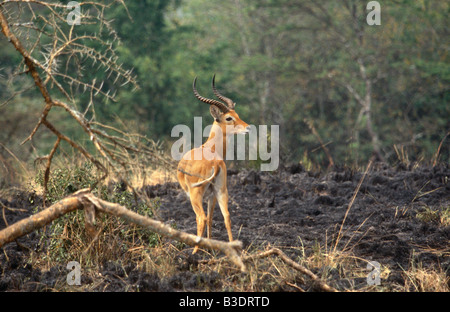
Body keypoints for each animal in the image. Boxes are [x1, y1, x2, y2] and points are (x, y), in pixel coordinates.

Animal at [178, 75, 251, 254]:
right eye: (229, 117)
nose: (248, 128)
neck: (210, 147)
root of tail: (215, 163)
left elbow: (205, 218)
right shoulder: (212, 194)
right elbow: (213, 218)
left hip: (195, 194)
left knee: (201, 218)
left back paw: (195, 252)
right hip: (221, 191)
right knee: (226, 216)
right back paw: (233, 248)